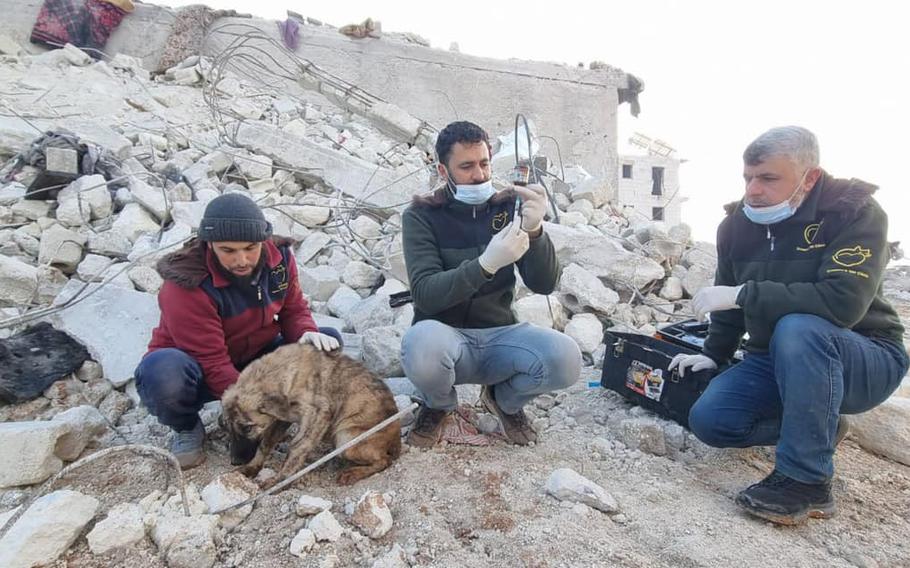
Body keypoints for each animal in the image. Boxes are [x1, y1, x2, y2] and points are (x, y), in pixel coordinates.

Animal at [223, 342, 400, 484]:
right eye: (227, 428)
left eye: (247, 428)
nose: (234, 461)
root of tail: (396, 440)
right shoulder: (281, 418)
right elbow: (266, 443)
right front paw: (252, 467)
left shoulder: (319, 413)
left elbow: (297, 448)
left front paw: (279, 481)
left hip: (346, 439)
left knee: (385, 460)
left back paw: (353, 473)